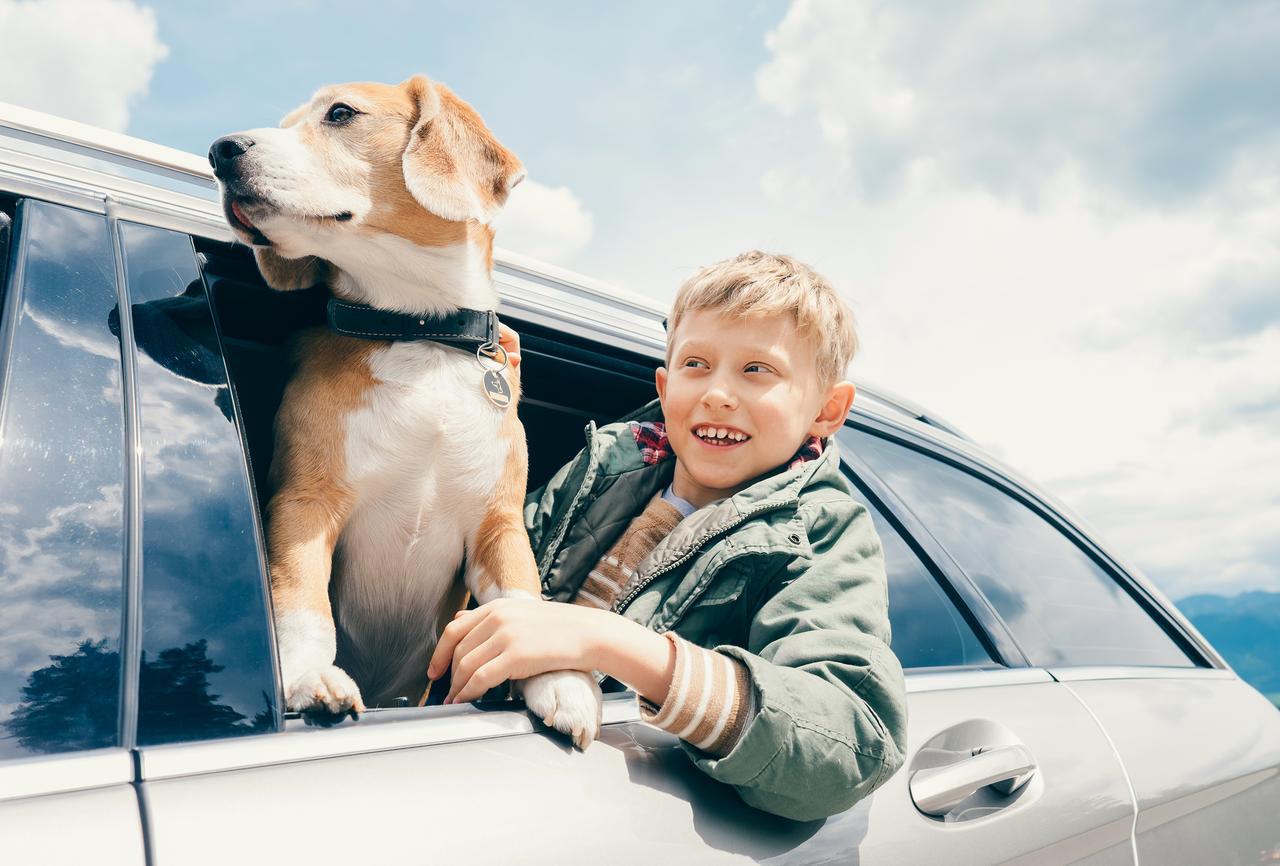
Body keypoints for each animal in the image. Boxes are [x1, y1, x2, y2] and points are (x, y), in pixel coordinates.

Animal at [211, 77, 604, 747]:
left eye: (340, 113)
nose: (220, 150)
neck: (421, 334)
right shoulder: (304, 502)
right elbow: (302, 600)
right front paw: (309, 677)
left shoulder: (498, 524)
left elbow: (522, 599)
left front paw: (561, 682)